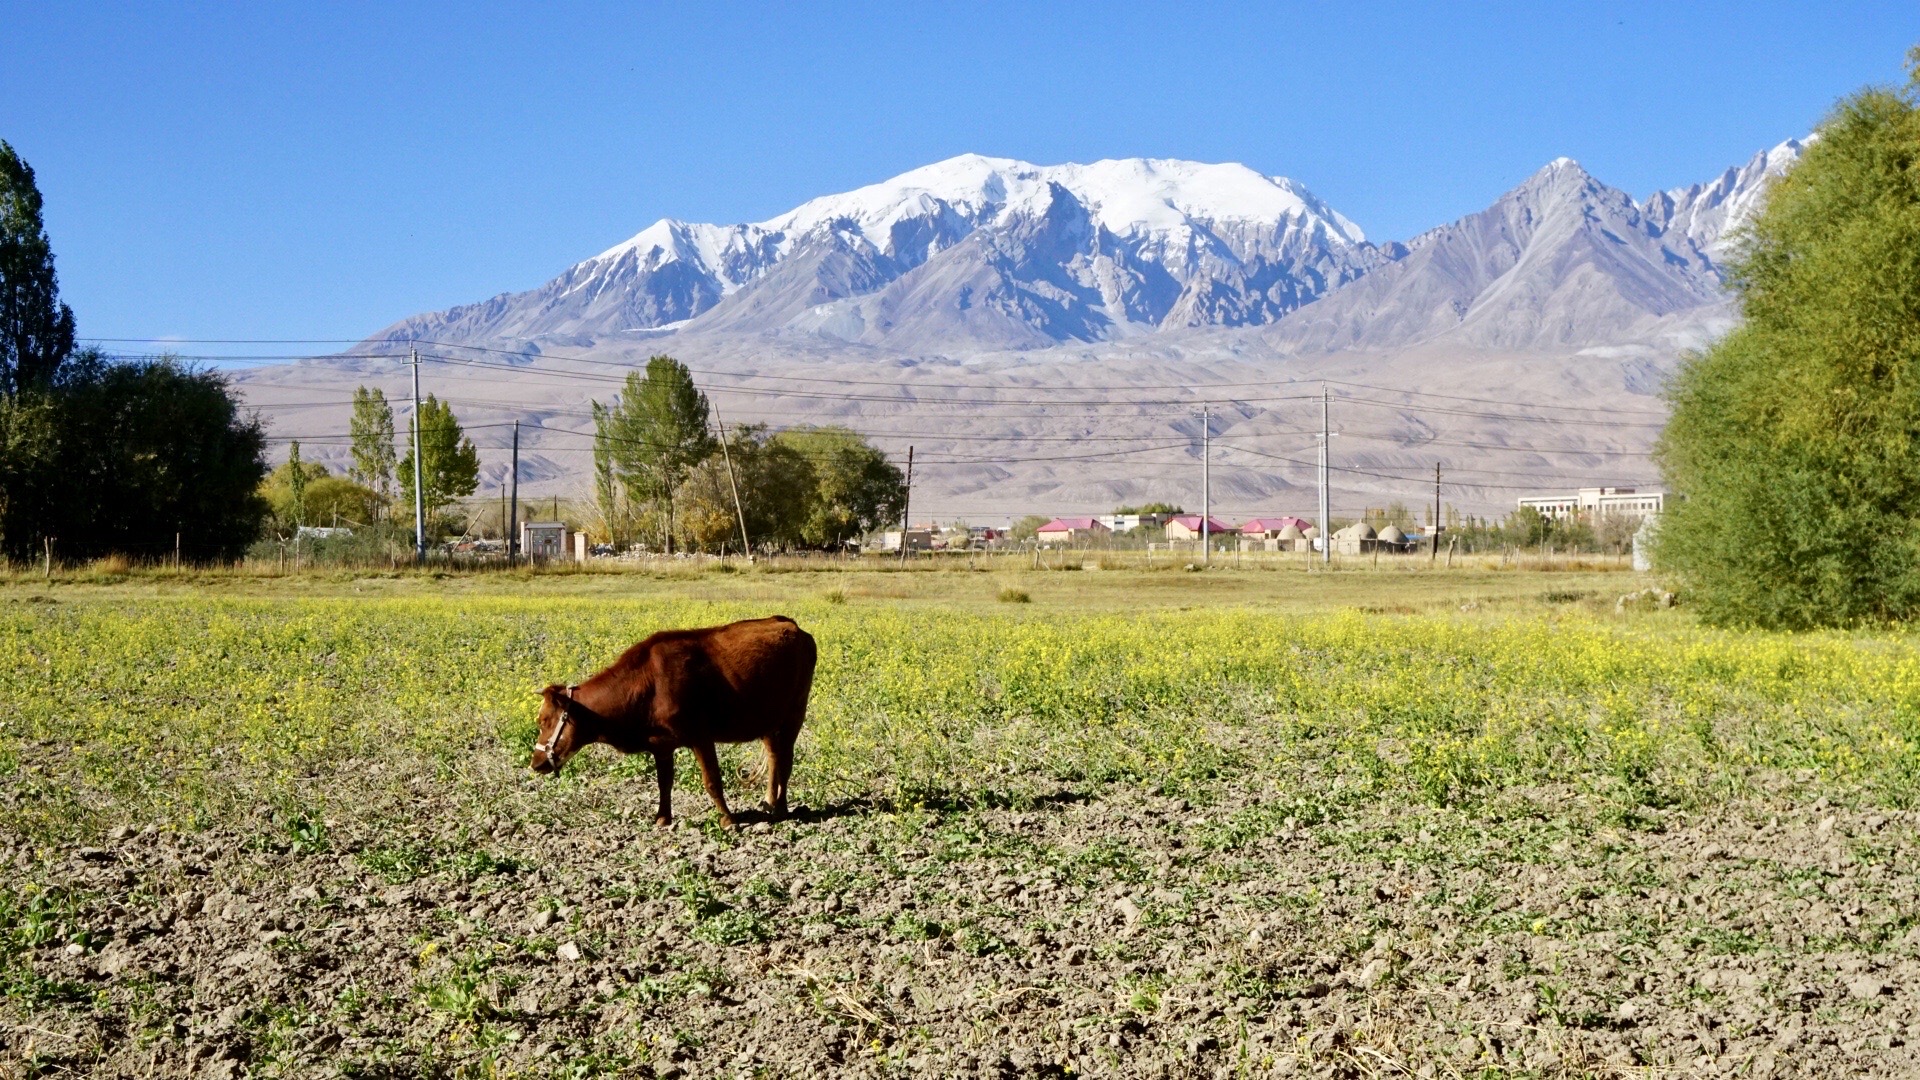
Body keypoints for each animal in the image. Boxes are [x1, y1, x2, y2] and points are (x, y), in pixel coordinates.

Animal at [526, 614, 817, 822]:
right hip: (768, 720)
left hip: (795, 713)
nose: (535, 763)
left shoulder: (701, 736)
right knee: (774, 757)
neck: (649, 683)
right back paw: (769, 802)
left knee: (786, 760)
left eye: (544, 721)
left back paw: (781, 808)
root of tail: (789, 623)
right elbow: (664, 782)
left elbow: (712, 780)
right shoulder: (661, 744)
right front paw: (662, 818)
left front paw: (728, 821)